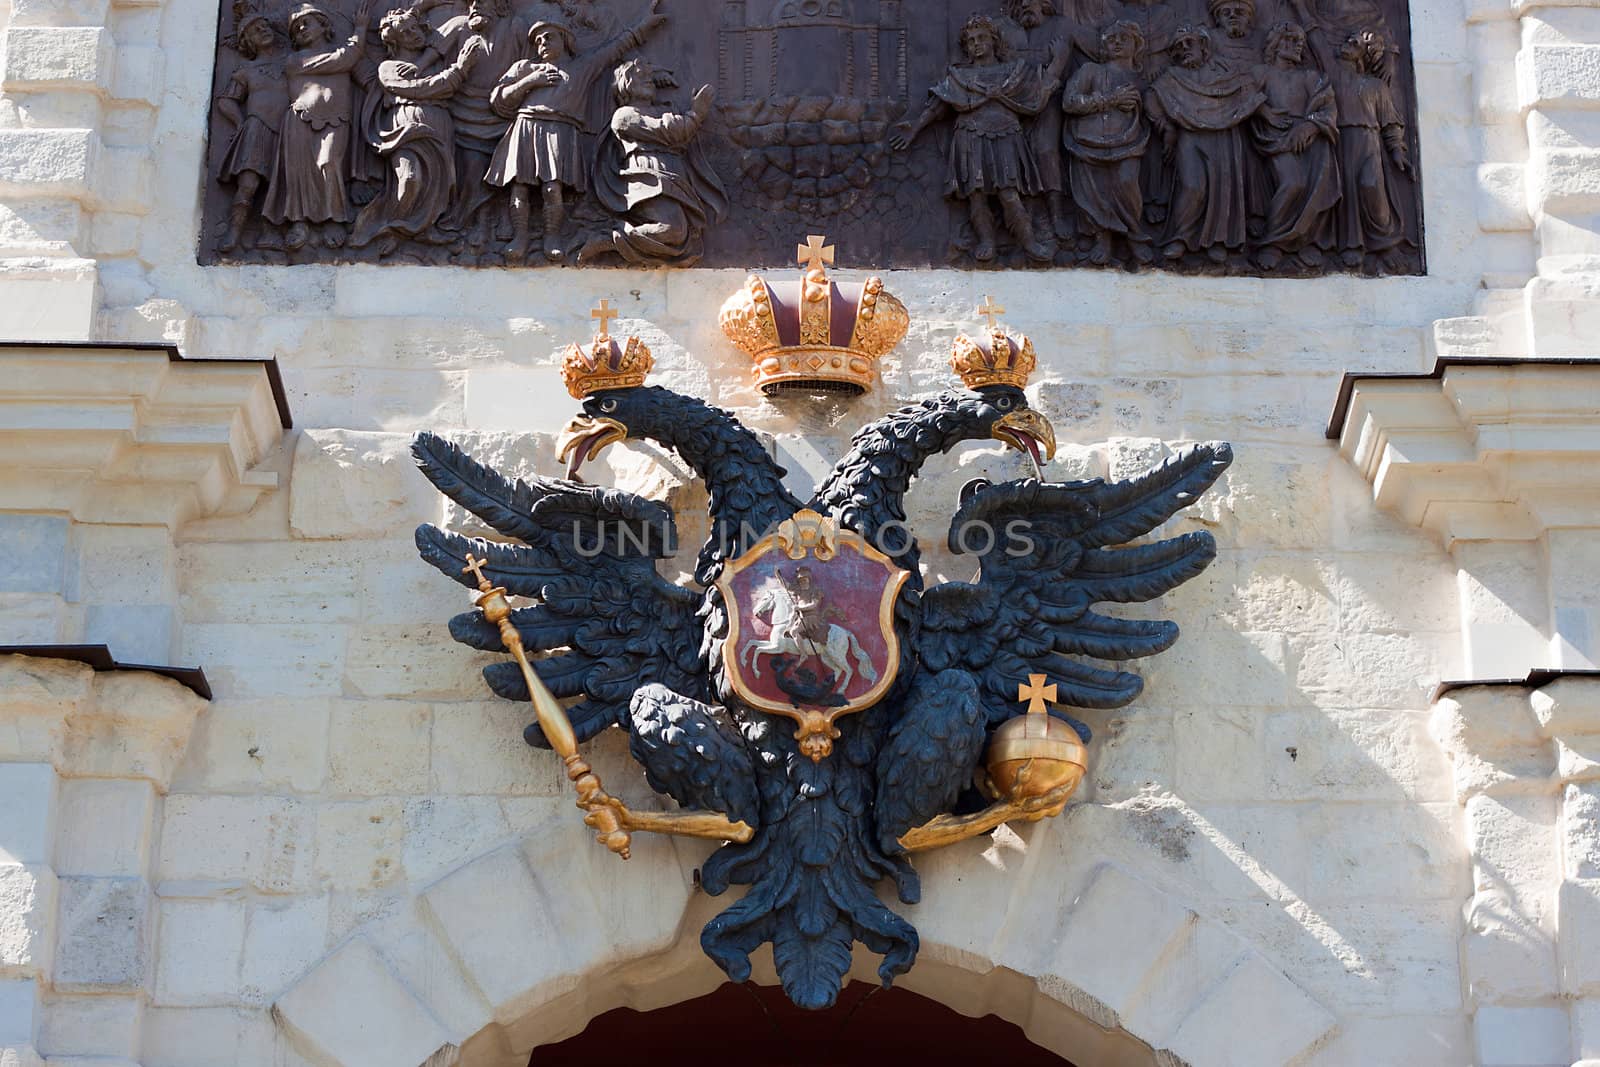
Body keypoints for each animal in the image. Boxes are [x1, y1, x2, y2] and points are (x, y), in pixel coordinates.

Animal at [736, 585, 876, 694]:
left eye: (765, 598)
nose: (755, 612)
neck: (783, 623)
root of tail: (845, 632)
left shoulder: (777, 648)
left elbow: (758, 649)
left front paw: (756, 672)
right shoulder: (772, 643)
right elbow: (752, 642)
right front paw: (743, 660)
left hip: (837, 655)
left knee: (849, 670)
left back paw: (840, 689)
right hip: (826, 657)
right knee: (838, 670)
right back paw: (827, 688)